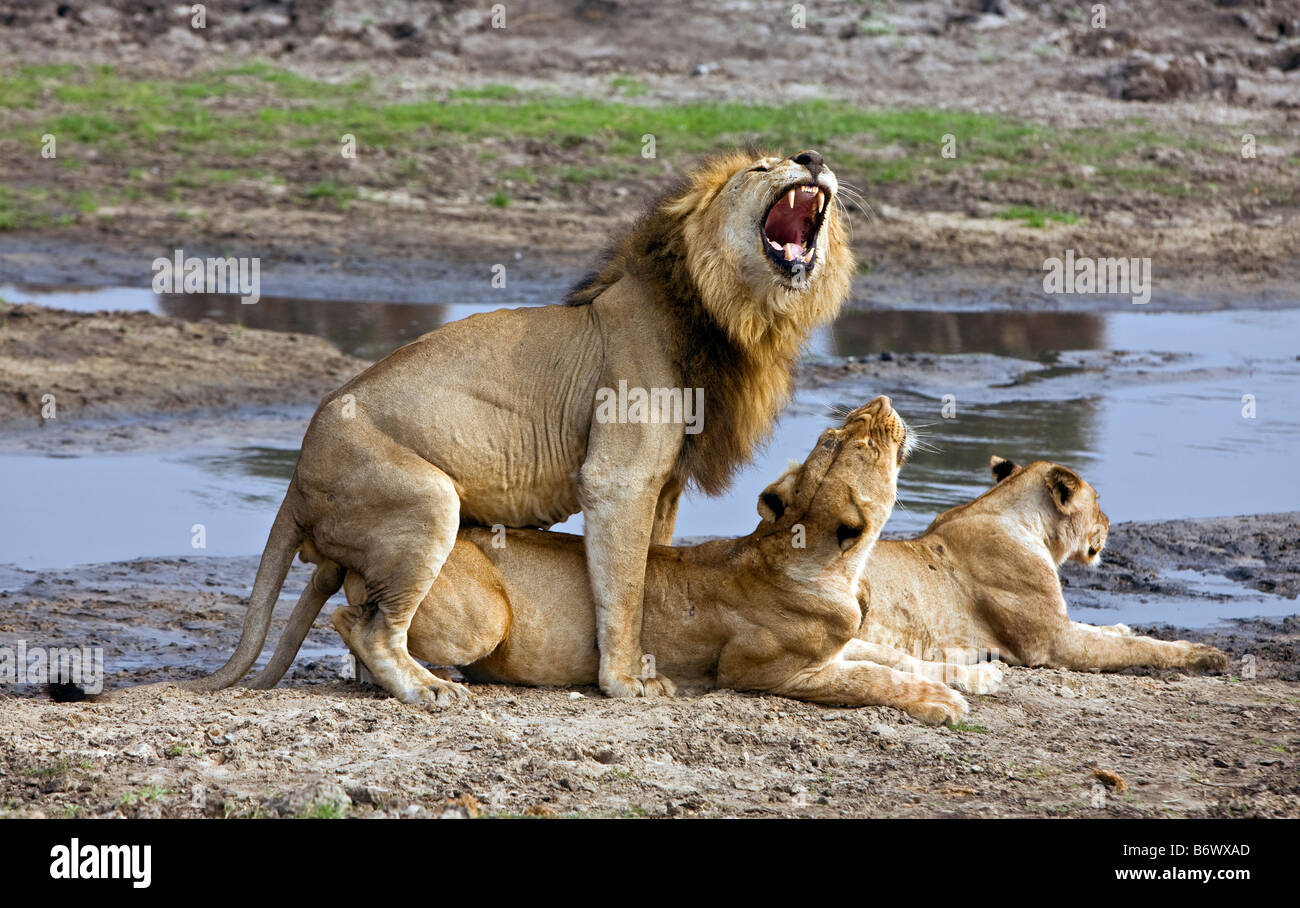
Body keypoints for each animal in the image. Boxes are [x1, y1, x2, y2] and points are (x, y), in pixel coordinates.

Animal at [183, 148, 852, 702]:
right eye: (761, 167)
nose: (812, 157)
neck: (729, 315)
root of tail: (297, 476)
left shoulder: (663, 486)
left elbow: (650, 574)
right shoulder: (618, 478)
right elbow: (624, 587)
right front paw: (625, 682)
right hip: (425, 500)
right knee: (370, 625)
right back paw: (427, 688)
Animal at [250, 395, 977, 723]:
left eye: (837, 433)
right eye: (855, 439)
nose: (883, 403)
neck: (831, 566)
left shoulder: (844, 641)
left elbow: (891, 653)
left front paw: (972, 677)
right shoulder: (767, 673)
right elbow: (871, 679)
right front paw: (941, 703)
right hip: (479, 612)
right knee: (360, 623)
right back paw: (423, 684)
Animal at [852, 455, 1227, 666]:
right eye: (1098, 501)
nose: (1109, 522)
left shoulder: (1061, 624)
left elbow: (1105, 631)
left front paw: (1119, 627)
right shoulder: (1054, 643)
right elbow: (1135, 648)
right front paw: (1203, 655)